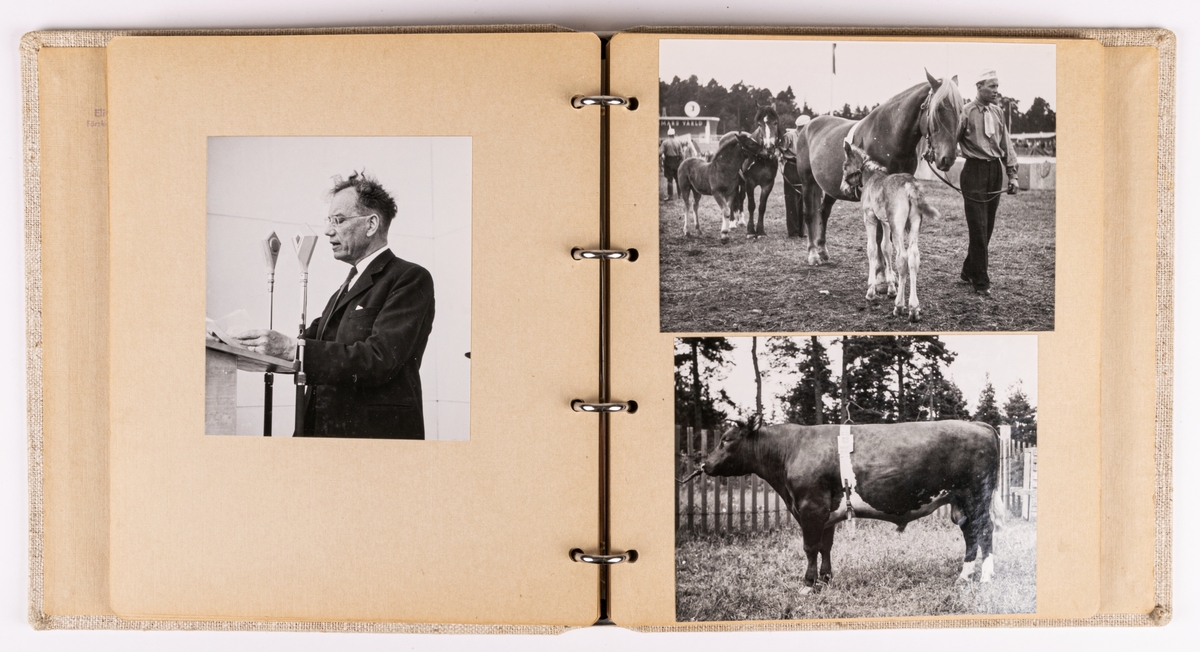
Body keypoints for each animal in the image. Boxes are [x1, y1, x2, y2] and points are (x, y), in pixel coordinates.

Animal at [700, 417, 998, 597]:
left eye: (727, 439)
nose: (704, 464)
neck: (790, 451)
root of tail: (978, 424)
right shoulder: (826, 513)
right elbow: (825, 546)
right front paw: (826, 579)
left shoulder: (810, 507)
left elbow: (810, 547)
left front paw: (808, 584)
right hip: (961, 502)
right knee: (970, 535)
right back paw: (964, 577)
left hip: (976, 495)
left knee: (985, 531)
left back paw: (986, 577)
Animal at [792, 70, 960, 266]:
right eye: (938, 110)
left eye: (960, 111)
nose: (947, 158)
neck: (889, 135)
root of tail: (807, 127)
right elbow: (880, 236)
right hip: (807, 181)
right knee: (809, 214)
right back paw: (812, 254)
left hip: (831, 188)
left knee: (823, 212)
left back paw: (822, 251)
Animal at [840, 142, 940, 321]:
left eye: (845, 166)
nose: (843, 188)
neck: (871, 177)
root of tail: (910, 184)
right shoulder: (885, 222)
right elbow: (886, 248)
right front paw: (891, 287)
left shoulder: (870, 217)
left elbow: (873, 249)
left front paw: (871, 290)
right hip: (914, 223)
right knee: (913, 257)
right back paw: (914, 308)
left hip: (897, 225)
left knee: (902, 258)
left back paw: (899, 307)